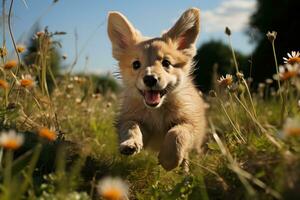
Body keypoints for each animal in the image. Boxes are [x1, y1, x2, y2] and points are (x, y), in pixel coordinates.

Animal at [107, 7, 206, 170]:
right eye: (136, 64)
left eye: (166, 63)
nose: (150, 79)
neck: (157, 111)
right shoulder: (135, 120)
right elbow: (131, 125)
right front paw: (130, 143)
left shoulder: (190, 123)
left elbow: (177, 133)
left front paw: (168, 159)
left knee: (186, 153)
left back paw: (184, 170)